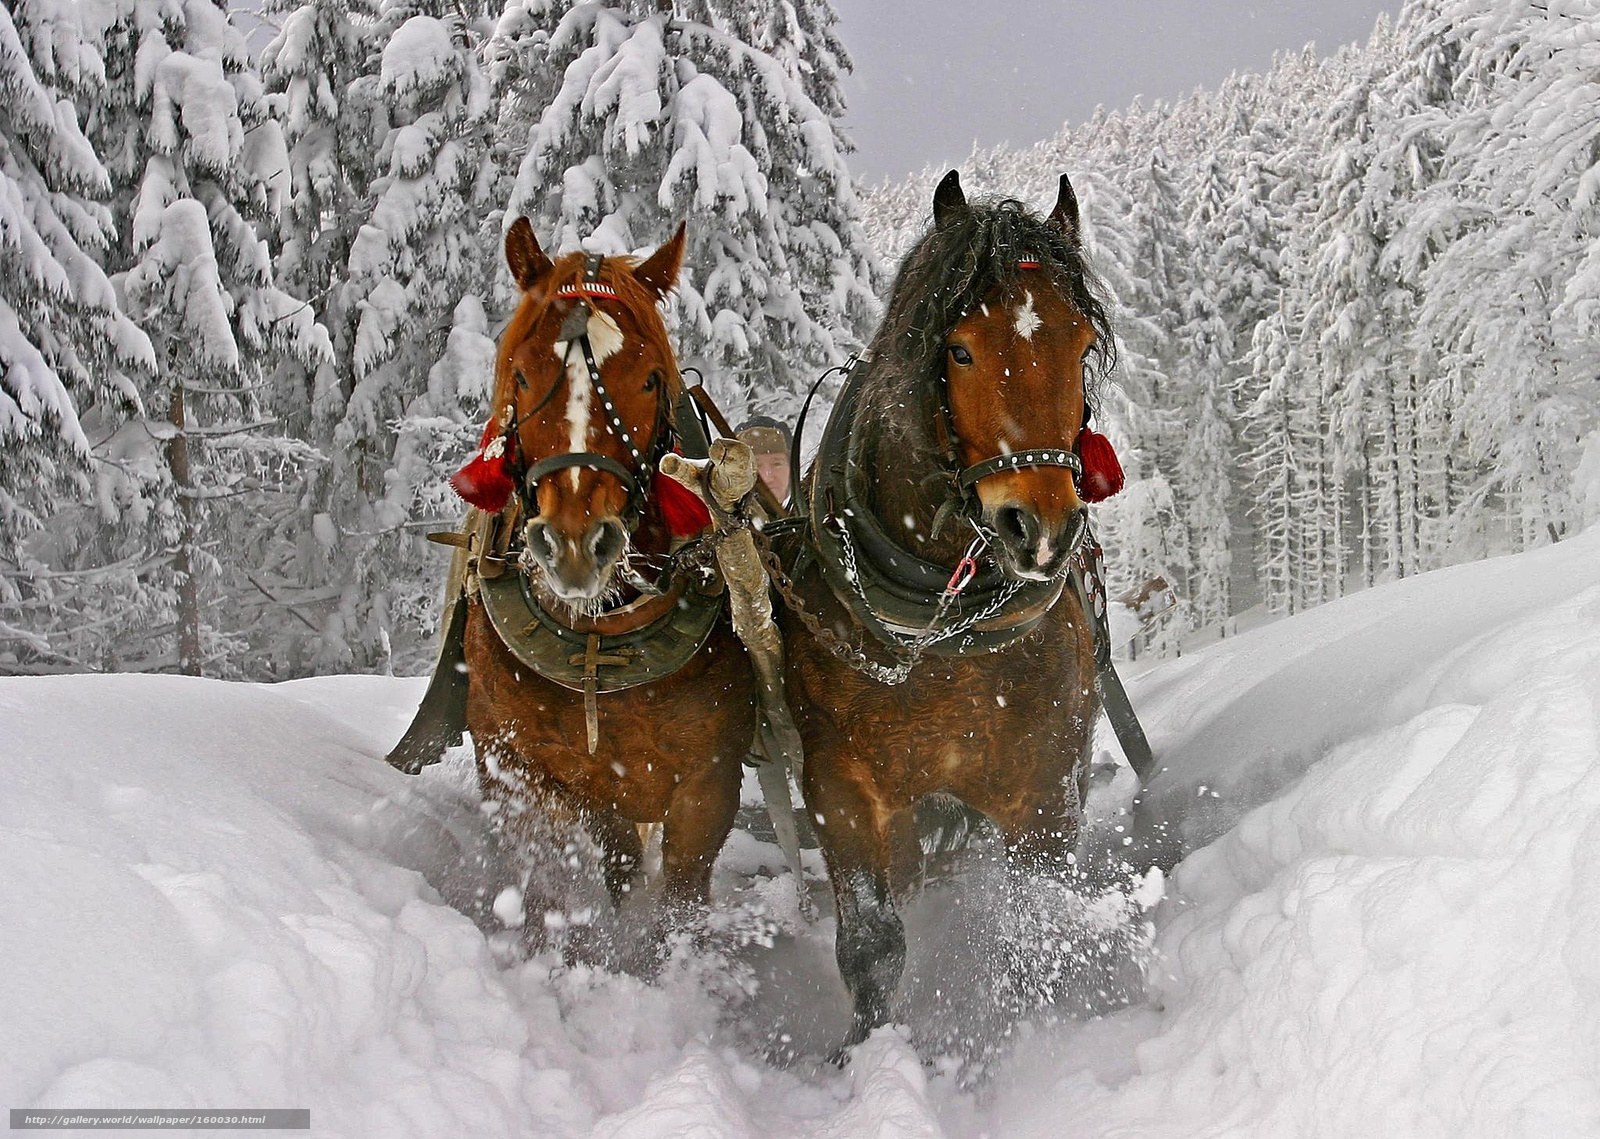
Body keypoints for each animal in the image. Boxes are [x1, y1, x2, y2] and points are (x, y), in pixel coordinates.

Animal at [389, 218, 758, 958]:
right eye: (523, 373)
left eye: (649, 379)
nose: (576, 545)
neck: (599, 636)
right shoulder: (522, 768)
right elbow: (553, 884)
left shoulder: (708, 782)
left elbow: (680, 900)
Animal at [772, 170, 1119, 1049]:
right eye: (959, 349)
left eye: (1081, 347)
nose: (1041, 528)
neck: (941, 631)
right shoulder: (841, 788)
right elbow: (871, 943)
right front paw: (864, 1055)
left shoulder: (1044, 788)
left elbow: (1037, 924)